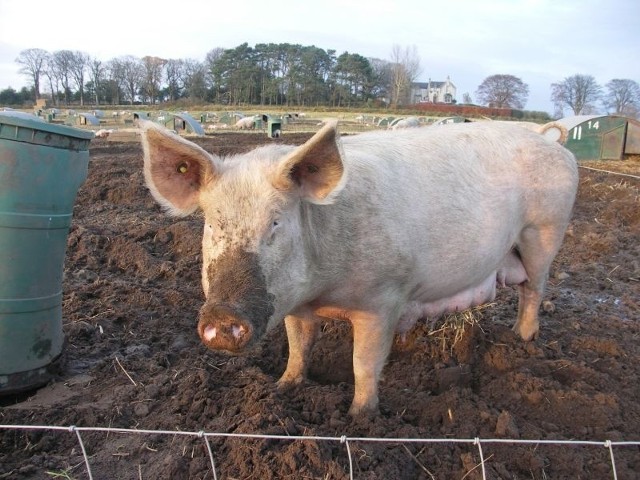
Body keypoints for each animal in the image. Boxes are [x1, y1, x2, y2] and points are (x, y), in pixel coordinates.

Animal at [141, 120, 580, 416]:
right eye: (213, 224)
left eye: (276, 223)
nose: (222, 317)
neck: (323, 291)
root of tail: (553, 142)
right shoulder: (296, 305)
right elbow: (299, 347)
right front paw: (283, 388)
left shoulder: (383, 297)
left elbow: (364, 363)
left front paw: (359, 417)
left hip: (546, 229)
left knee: (534, 288)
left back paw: (522, 339)